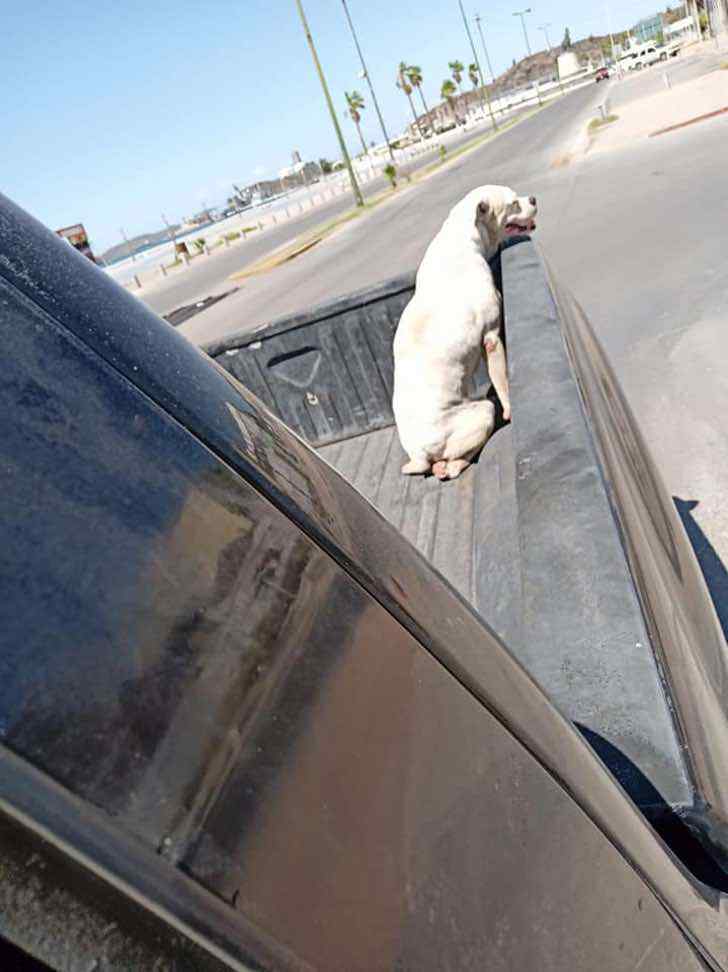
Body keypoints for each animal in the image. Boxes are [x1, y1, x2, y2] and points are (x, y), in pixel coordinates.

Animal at [392, 184, 536, 480]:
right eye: (513, 204)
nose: (533, 199)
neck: (461, 238)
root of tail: (420, 455)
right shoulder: (491, 338)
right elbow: (502, 382)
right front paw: (511, 409)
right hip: (483, 411)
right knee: (454, 463)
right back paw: (452, 465)